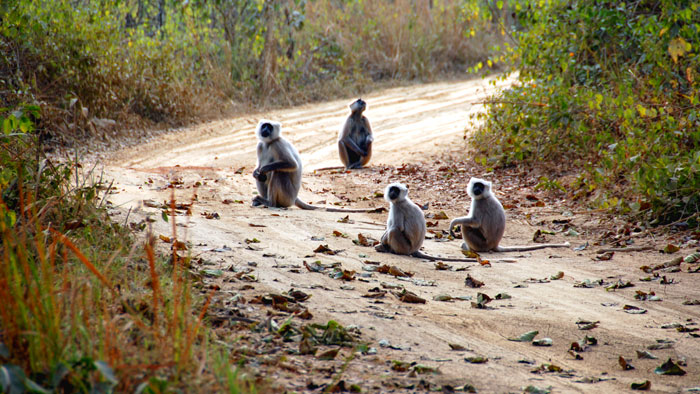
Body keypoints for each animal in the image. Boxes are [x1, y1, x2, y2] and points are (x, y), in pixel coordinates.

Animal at [252, 119, 380, 212]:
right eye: (264, 126)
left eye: (269, 127)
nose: (265, 129)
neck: (269, 143)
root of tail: (294, 198)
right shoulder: (260, 145)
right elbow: (258, 170)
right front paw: (256, 172)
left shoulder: (278, 143)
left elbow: (292, 164)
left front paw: (264, 169)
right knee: (261, 177)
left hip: (287, 197)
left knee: (278, 172)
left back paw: (270, 203)